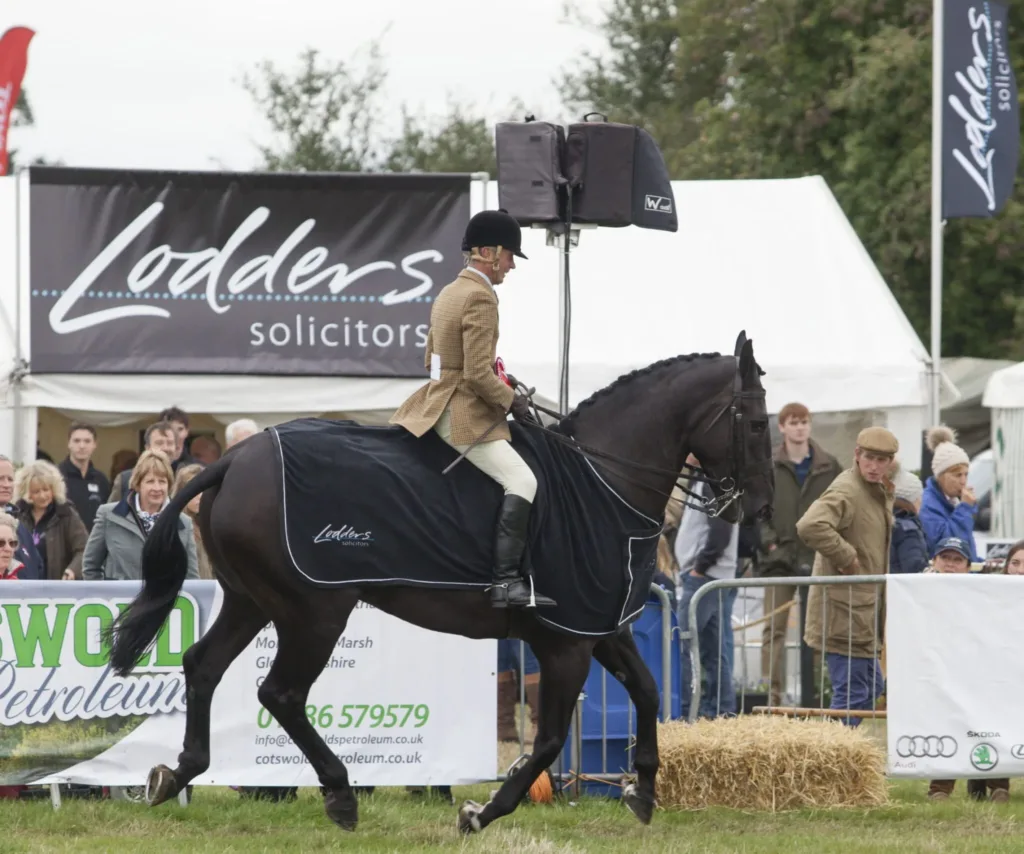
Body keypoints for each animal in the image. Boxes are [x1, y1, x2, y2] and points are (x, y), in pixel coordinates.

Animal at [108, 331, 770, 831]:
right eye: (758, 424)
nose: (759, 510)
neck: (601, 481)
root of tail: (229, 460)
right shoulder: (566, 642)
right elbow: (551, 739)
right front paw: (484, 811)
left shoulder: (599, 627)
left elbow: (649, 693)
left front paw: (643, 791)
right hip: (314, 610)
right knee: (281, 693)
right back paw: (340, 793)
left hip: (252, 599)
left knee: (204, 665)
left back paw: (175, 773)